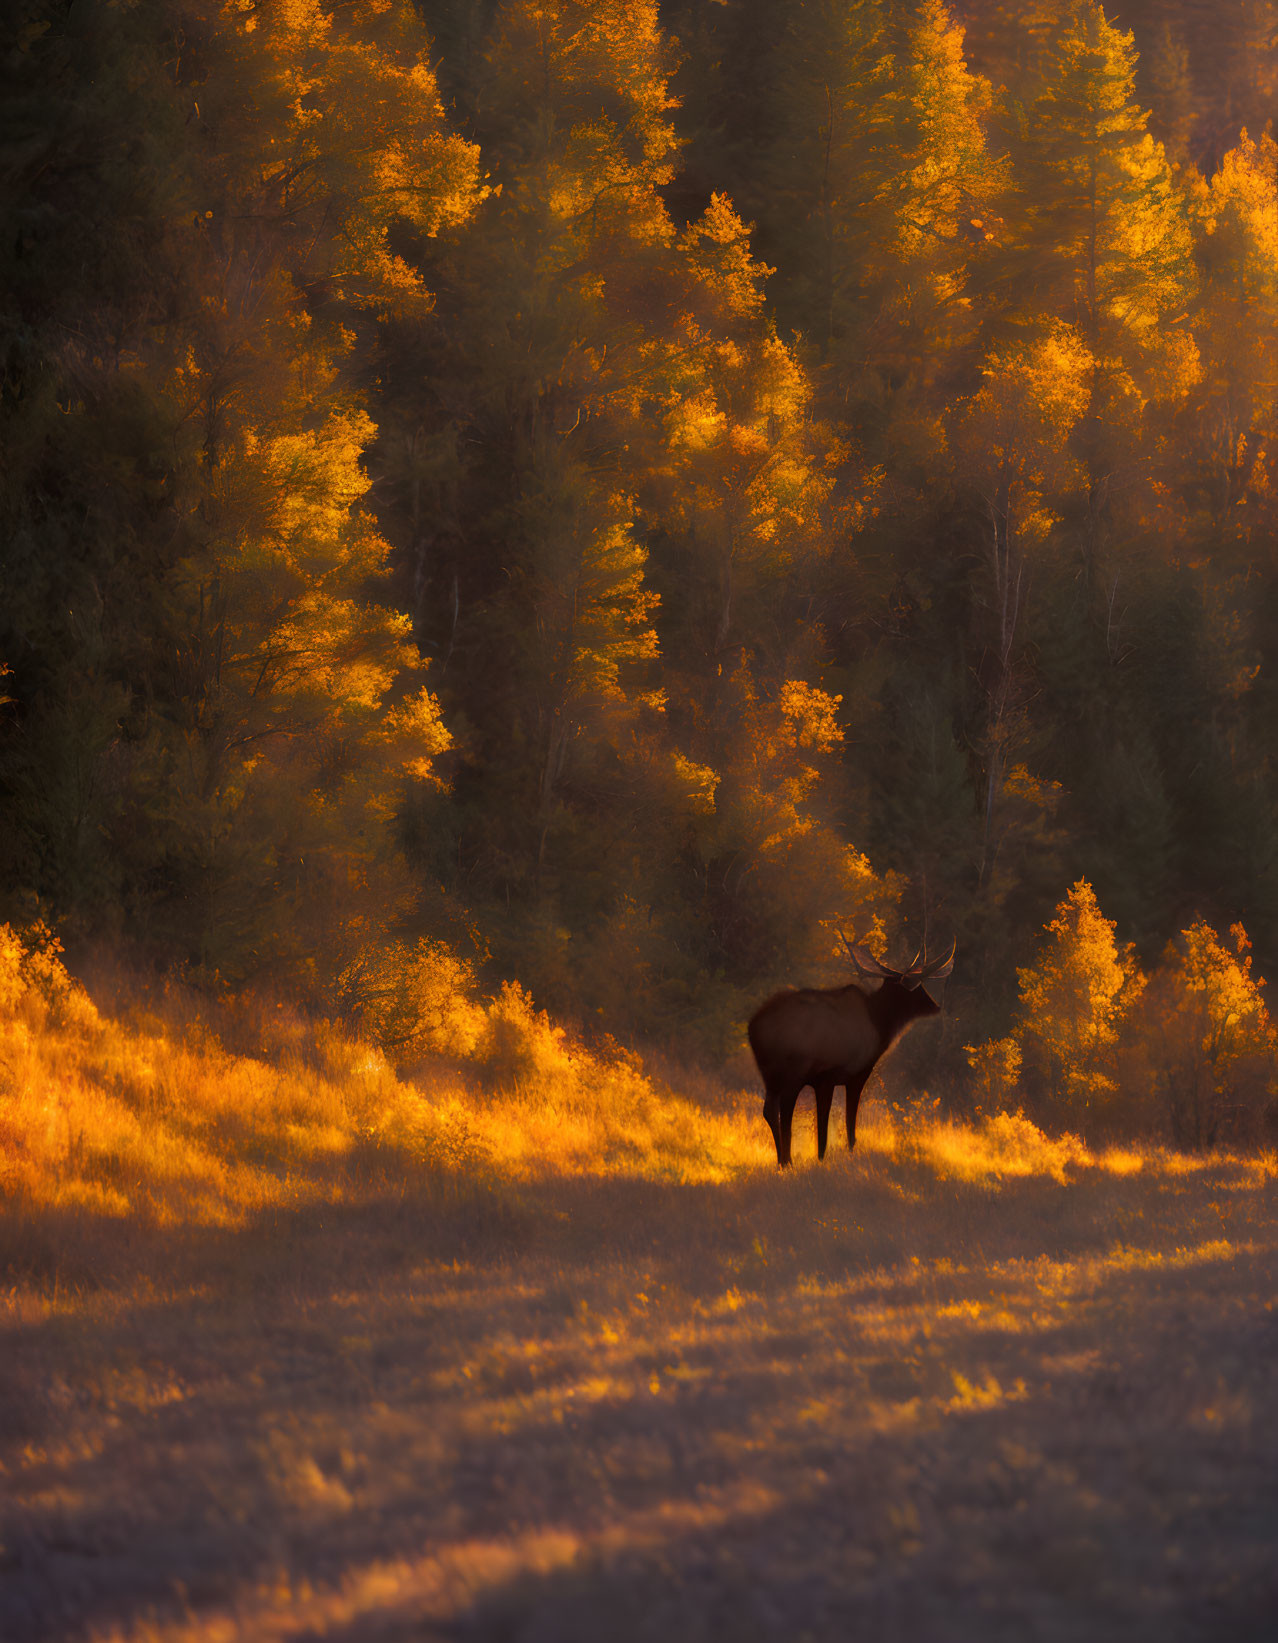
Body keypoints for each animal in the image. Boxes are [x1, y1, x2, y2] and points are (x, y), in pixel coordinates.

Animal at [742, 939, 952, 1169]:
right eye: (918, 987)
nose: (936, 1005)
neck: (879, 1025)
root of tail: (753, 1027)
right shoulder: (847, 1075)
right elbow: (843, 1122)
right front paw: (837, 1155)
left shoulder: (827, 1080)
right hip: (793, 1072)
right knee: (785, 1108)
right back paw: (787, 1161)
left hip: (769, 1075)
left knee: (770, 1110)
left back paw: (781, 1161)